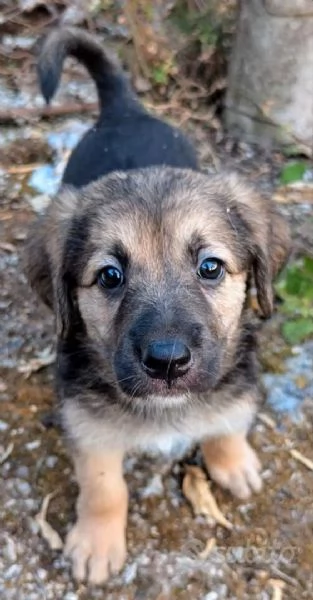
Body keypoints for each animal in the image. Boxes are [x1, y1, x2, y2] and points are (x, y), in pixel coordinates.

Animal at [25, 25, 290, 584]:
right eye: (110, 276)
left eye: (210, 267)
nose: (167, 362)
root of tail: (125, 109)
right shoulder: (89, 427)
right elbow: (104, 487)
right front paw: (96, 543)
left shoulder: (236, 384)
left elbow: (228, 423)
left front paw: (234, 462)